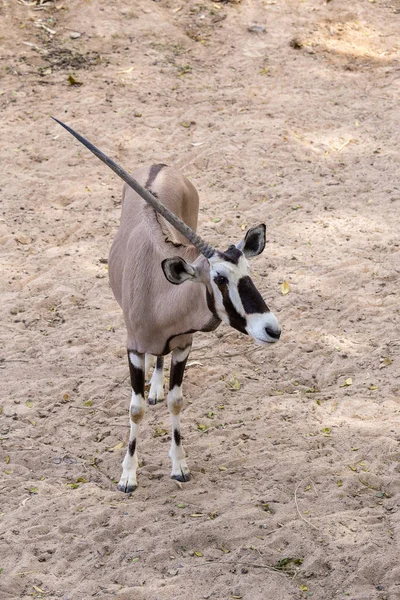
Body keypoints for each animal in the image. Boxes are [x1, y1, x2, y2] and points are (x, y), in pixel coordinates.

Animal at [53, 117, 280, 492]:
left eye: (248, 272)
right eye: (219, 278)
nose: (271, 329)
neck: (161, 295)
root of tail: (160, 166)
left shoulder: (183, 346)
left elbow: (176, 401)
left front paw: (179, 466)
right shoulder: (132, 348)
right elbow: (135, 409)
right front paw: (128, 475)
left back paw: (156, 385)